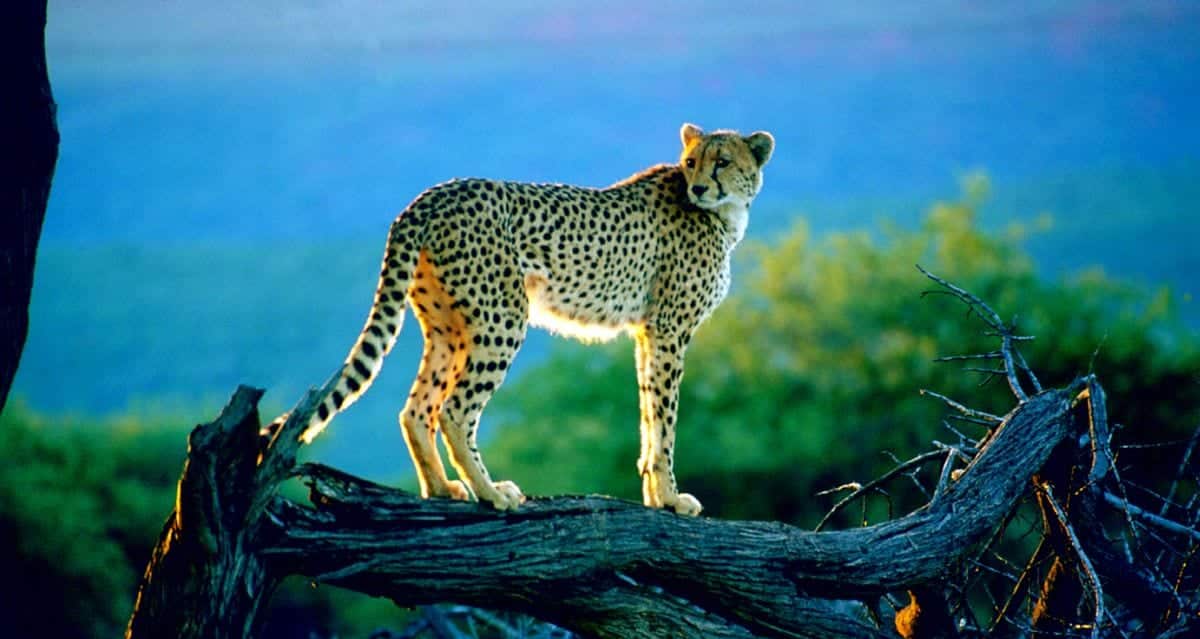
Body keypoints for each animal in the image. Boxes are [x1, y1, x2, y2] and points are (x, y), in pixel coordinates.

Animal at [292, 122, 777, 516]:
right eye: (692, 162)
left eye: (722, 162)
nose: (699, 189)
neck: (726, 216)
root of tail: (431, 195)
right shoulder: (671, 331)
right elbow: (665, 419)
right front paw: (673, 498)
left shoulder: (648, 332)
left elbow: (647, 415)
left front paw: (656, 497)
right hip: (502, 319)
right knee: (454, 409)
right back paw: (491, 492)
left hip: (449, 327)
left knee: (417, 409)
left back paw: (442, 488)